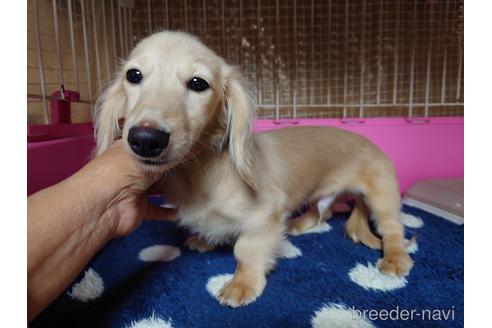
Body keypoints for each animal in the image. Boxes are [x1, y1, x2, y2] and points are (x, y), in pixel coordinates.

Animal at [94, 30, 414, 308]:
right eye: (133, 75)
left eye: (198, 83)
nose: (145, 140)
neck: (200, 174)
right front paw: (205, 240)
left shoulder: (264, 215)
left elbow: (246, 250)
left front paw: (242, 284)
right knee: (324, 212)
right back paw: (297, 224)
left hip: (382, 195)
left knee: (392, 229)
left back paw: (395, 258)